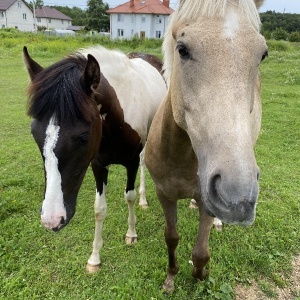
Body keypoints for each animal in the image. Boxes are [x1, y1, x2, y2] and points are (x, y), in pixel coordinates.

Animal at [24, 45, 166, 274]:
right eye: (34, 133)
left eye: (83, 137)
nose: (52, 220)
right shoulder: (98, 165)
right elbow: (99, 209)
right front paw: (94, 258)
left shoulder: (131, 162)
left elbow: (130, 197)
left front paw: (131, 233)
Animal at [145, 0, 268, 292]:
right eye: (182, 49)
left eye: (262, 55)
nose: (237, 197)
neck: (180, 157)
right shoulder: (163, 194)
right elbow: (171, 237)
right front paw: (170, 277)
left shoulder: (206, 202)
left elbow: (201, 251)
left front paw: (199, 276)